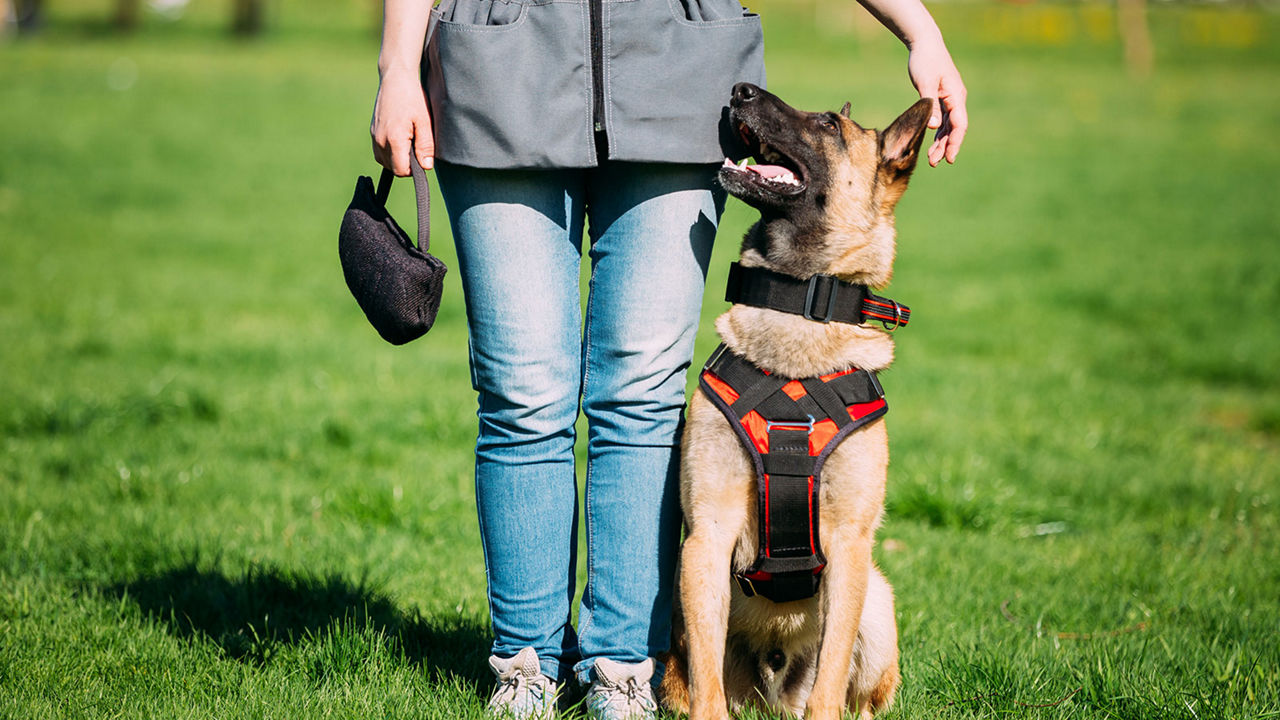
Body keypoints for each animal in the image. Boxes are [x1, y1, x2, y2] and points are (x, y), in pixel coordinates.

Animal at [660, 83, 931, 717]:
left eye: (829, 124)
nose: (739, 91)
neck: (800, 305)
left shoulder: (850, 546)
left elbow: (830, 677)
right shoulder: (705, 539)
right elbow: (707, 679)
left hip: (877, 602)